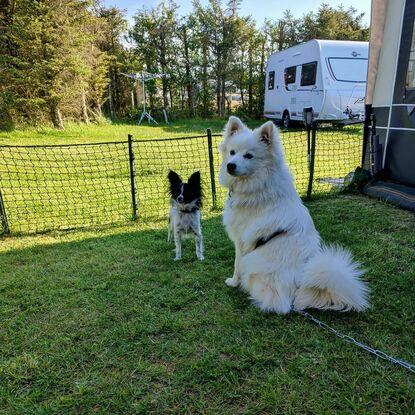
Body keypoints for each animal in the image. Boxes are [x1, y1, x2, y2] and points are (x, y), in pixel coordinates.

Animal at [219, 115, 368, 314]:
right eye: (232, 152)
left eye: (248, 155)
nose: (230, 165)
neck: (260, 184)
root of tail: (301, 286)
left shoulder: (242, 241)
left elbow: (237, 264)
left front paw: (233, 282)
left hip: (255, 262)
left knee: (278, 303)